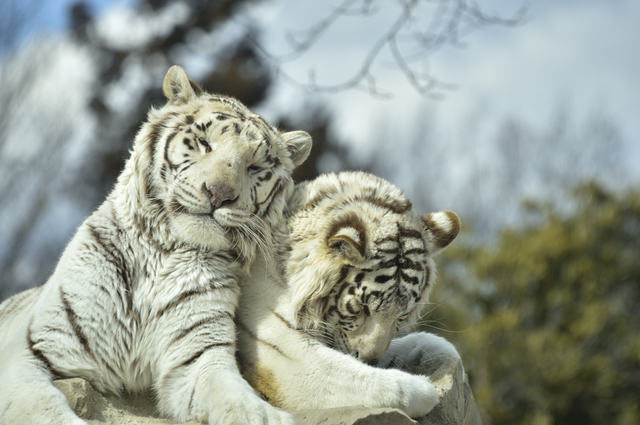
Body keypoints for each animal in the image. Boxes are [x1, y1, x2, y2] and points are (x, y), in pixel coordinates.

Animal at [0, 66, 311, 425]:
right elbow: (46, 408)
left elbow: (235, 396)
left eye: (256, 167)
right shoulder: (33, 351)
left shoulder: (197, 357)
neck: (163, 252)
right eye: (204, 143)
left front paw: (262, 415)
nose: (219, 193)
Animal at [236, 171, 461, 418]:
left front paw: (437, 349)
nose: (370, 359)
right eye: (362, 308)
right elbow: (349, 374)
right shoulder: (282, 352)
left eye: (402, 316)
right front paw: (421, 388)